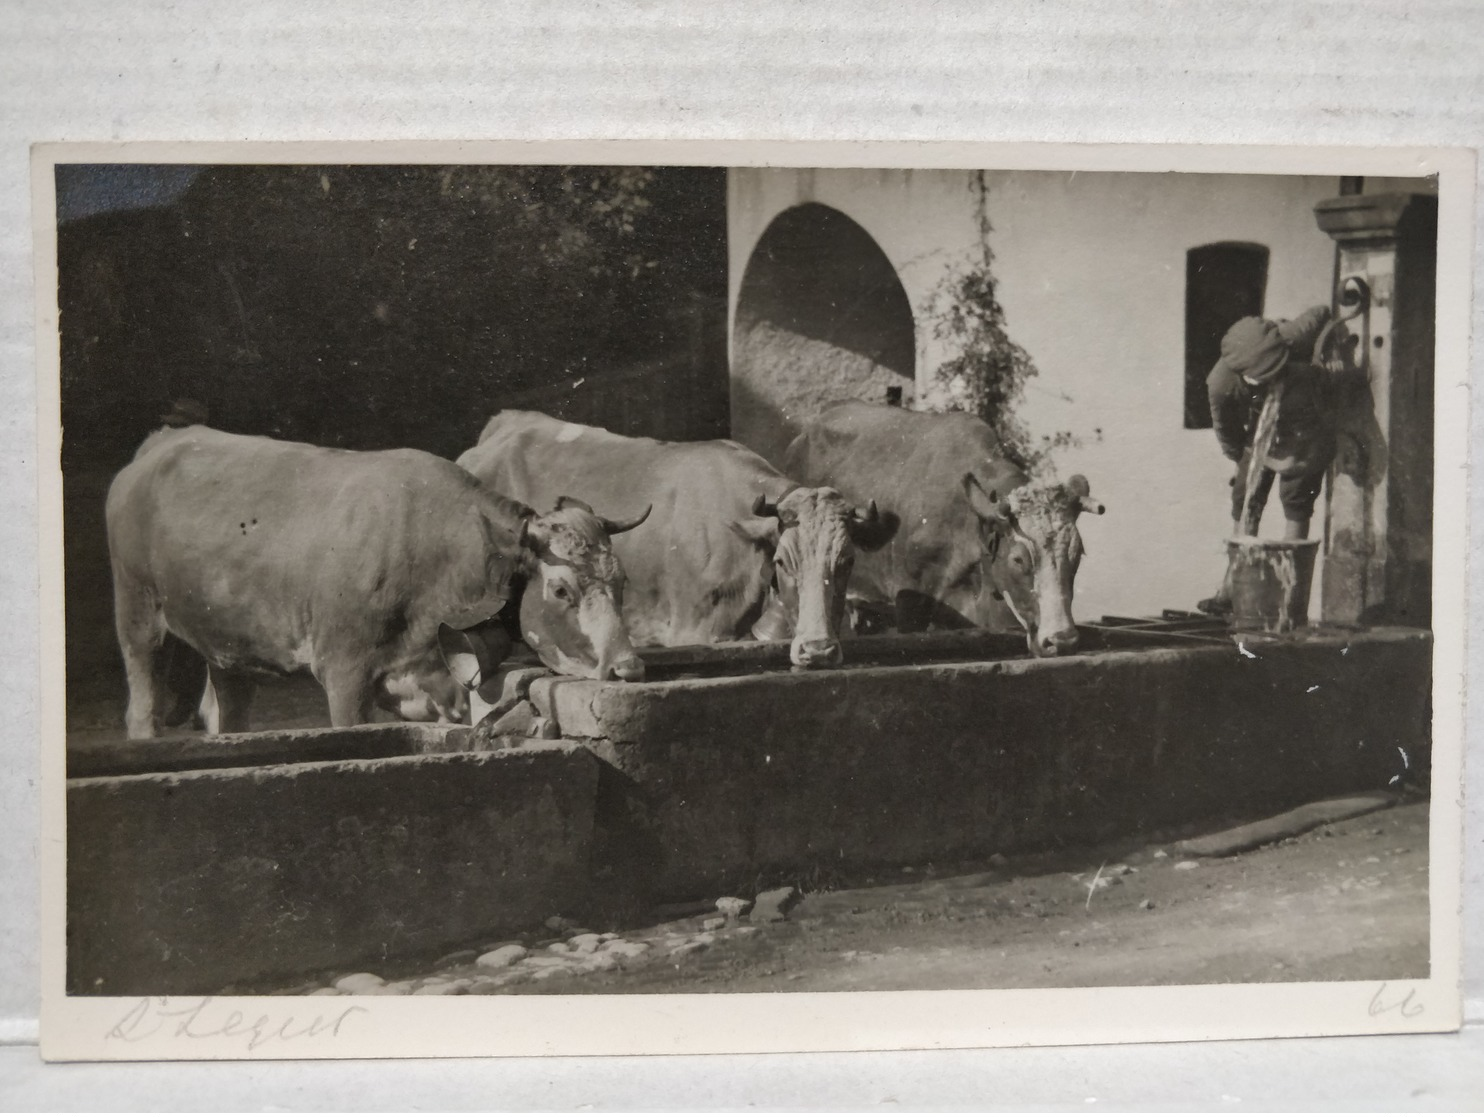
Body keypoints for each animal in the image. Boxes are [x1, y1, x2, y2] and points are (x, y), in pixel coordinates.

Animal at [101, 421, 641, 735]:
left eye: (622, 583)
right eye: (561, 589)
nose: (628, 669)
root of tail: (165, 440)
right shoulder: (345, 672)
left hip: (229, 643)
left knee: (227, 712)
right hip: (137, 614)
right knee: (143, 706)